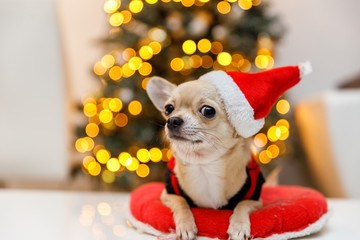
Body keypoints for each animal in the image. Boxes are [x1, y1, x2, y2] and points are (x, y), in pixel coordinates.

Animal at [146, 78, 262, 239]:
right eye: (168, 109)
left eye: (208, 111)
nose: (172, 120)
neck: (204, 165)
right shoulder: (167, 194)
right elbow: (181, 202)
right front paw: (186, 225)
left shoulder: (256, 199)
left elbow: (242, 205)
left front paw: (239, 226)